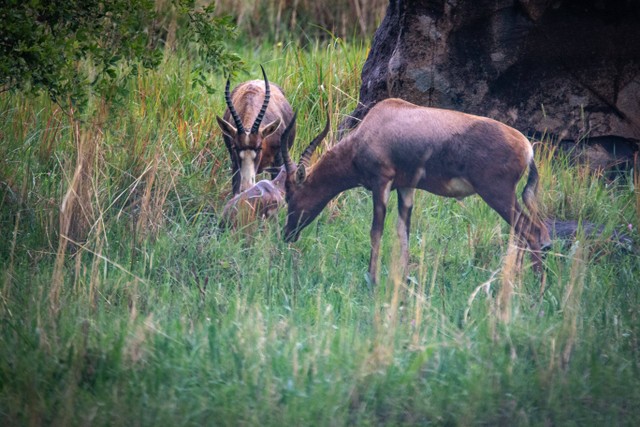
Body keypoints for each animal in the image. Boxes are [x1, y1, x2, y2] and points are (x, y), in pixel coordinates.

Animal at [282, 98, 552, 286]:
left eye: (290, 194)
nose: (287, 234)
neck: (378, 122)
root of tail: (527, 148)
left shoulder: (382, 183)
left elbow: (376, 231)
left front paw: (372, 280)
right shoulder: (406, 187)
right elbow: (404, 233)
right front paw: (402, 281)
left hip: (498, 194)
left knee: (531, 232)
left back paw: (536, 290)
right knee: (532, 232)